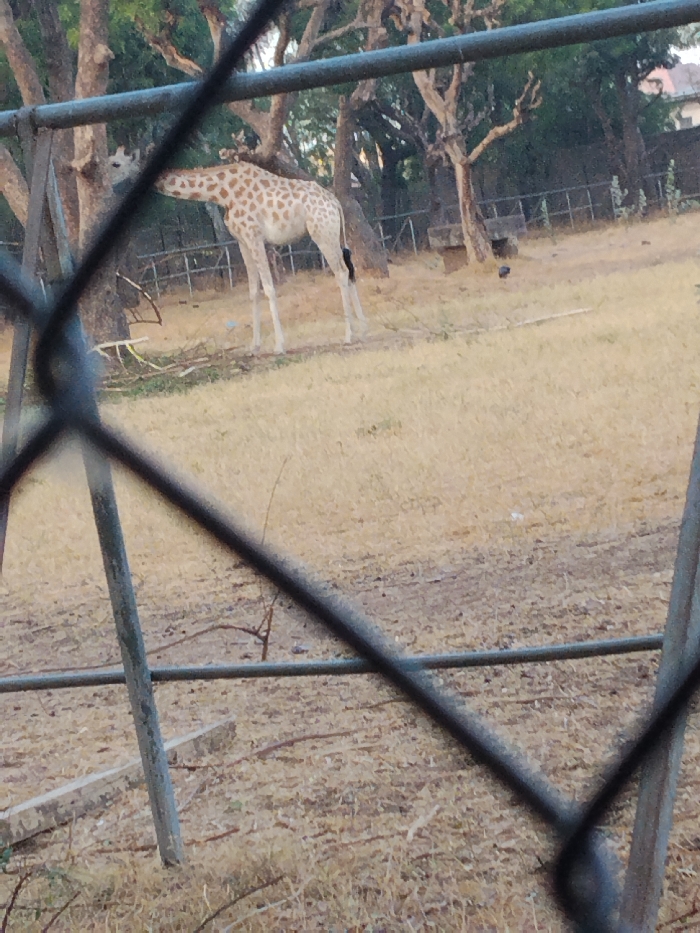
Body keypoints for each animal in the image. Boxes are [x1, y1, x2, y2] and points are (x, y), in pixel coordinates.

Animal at [153, 161, 368, 354]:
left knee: (341, 272)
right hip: (334, 233)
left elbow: (269, 288)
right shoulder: (242, 241)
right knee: (349, 270)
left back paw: (349, 334)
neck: (221, 193)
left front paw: (279, 345)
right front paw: (254, 347)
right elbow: (253, 291)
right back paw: (363, 328)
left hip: (322, 233)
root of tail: (335, 202)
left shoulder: (254, 236)